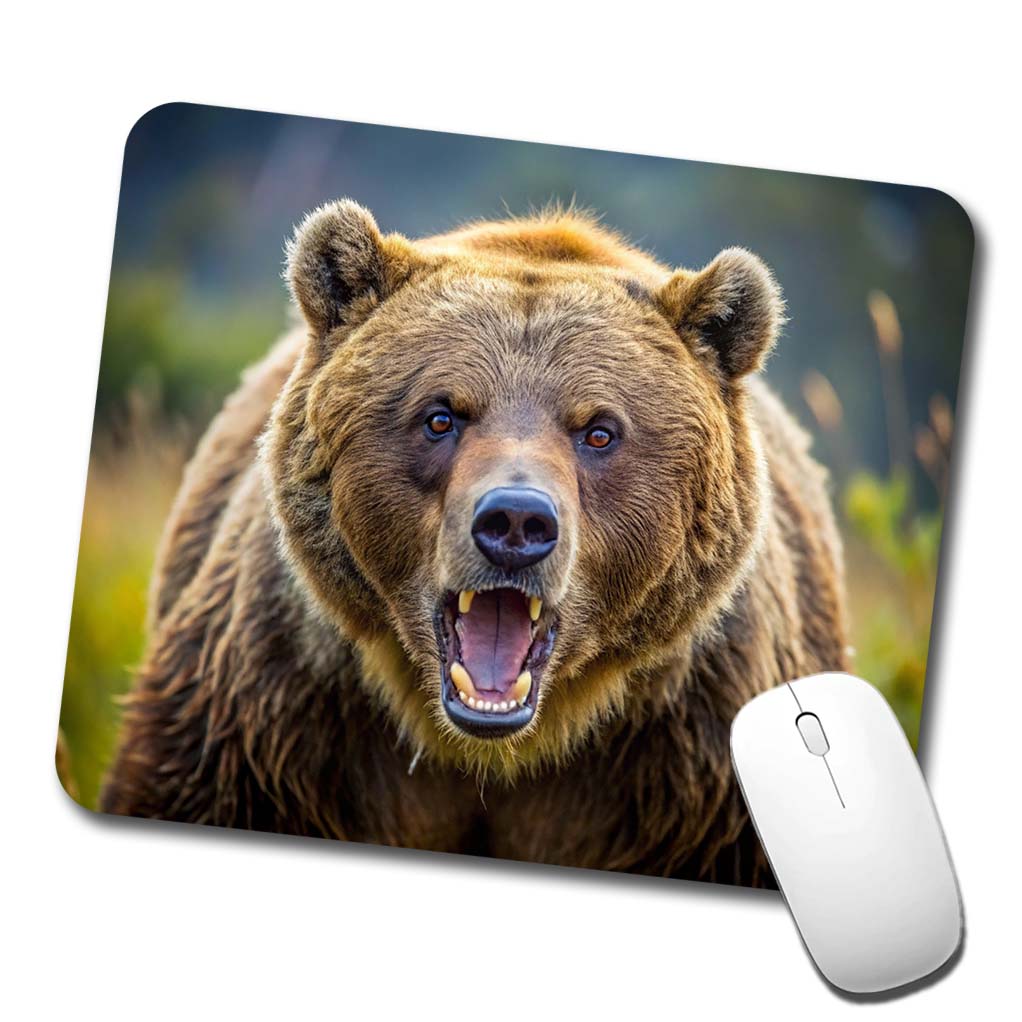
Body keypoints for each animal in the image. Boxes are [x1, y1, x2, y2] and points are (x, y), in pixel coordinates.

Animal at [100, 200, 849, 886]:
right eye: (441, 415)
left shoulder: (691, 768)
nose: (516, 522)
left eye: (599, 430)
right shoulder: (277, 719)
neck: (491, 748)